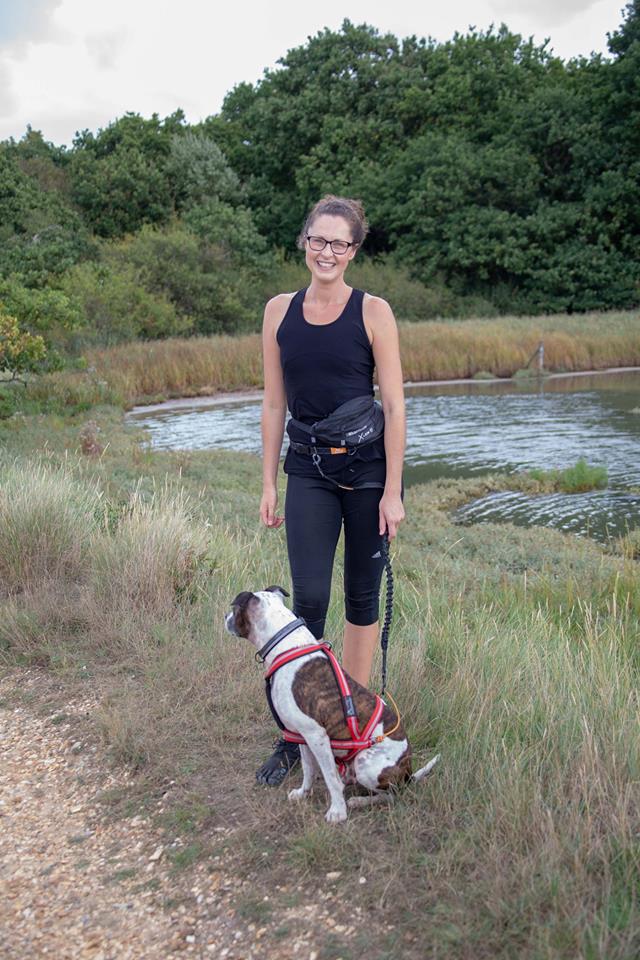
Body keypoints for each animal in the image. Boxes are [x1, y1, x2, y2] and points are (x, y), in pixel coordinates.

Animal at [225, 584, 440, 824]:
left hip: (366, 764)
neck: (286, 645)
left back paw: (358, 801)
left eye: (234, 609)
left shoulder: (317, 736)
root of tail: (408, 771)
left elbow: (331, 779)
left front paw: (337, 812)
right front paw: (303, 793)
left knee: (392, 795)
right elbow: (308, 769)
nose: (225, 617)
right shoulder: (301, 734)